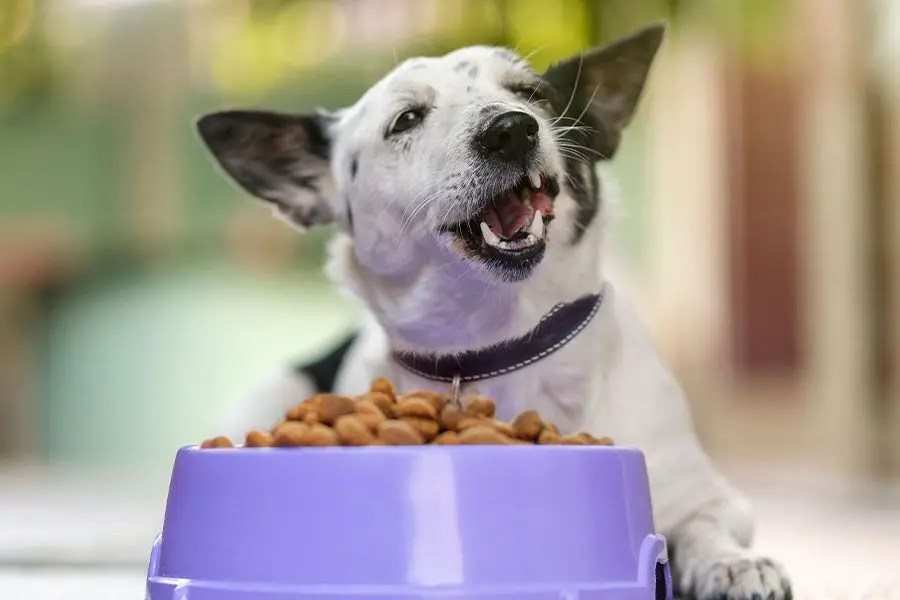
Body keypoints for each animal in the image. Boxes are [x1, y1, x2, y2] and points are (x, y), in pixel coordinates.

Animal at [193, 23, 792, 600]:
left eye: (532, 95)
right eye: (406, 119)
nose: (511, 129)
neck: (499, 343)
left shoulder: (712, 497)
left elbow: (701, 526)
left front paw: (735, 564)